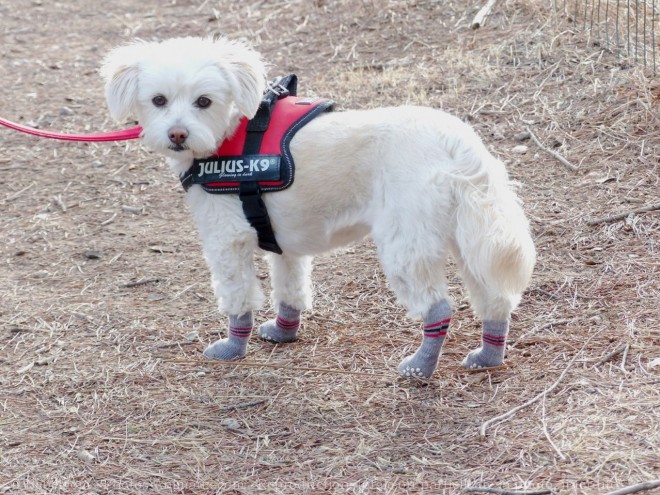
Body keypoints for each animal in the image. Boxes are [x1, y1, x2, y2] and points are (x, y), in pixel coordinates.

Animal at [103, 36, 536, 378]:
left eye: (204, 101)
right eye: (158, 100)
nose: (177, 134)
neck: (230, 134)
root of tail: (457, 141)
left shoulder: (227, 240)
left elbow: (238, 298)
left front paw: (232, 347)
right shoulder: (283, 243)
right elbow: (290, 290)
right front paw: (283, 331)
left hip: (406, 243)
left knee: (439, 309)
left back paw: (420, 366)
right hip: (469, 238)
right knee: (495, 297)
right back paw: (488, 356)